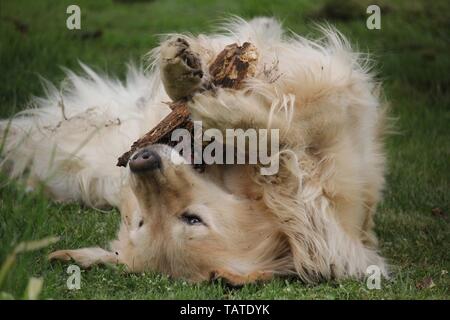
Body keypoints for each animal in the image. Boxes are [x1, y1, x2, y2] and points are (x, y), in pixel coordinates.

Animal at [0, 17, 386, 284]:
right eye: (141, 222)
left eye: (192, 219)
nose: (141, 160)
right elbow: (282, 131)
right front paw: (203, 91)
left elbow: (287, 125)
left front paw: (205, 93)